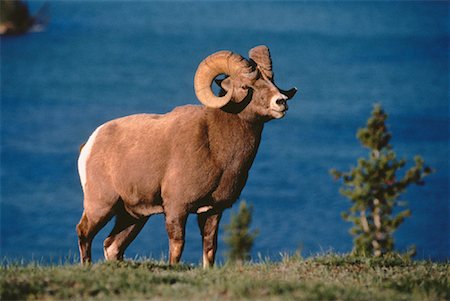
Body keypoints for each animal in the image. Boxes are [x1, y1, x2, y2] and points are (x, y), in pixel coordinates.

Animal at [76, 45, 298, 266]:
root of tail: (90, 144)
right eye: (246, 86)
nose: (281, 102)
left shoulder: (213, 211)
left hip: (133, 216)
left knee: (112, 245)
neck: (216, 149)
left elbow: (210, 249)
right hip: (101, 206)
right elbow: (177, 247)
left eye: (272, 80)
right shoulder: (177, 208)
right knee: (84, 233)